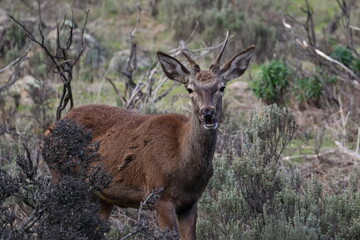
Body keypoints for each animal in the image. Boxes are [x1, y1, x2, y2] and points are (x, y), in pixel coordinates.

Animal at [47, 34, 255, 240]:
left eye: (222, 87)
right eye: (189, 89)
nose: (208, 113)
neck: (183, 161)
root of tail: (50, 129)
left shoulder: (191, 202)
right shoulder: (159, 196)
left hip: (101, 196)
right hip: (62, 176)